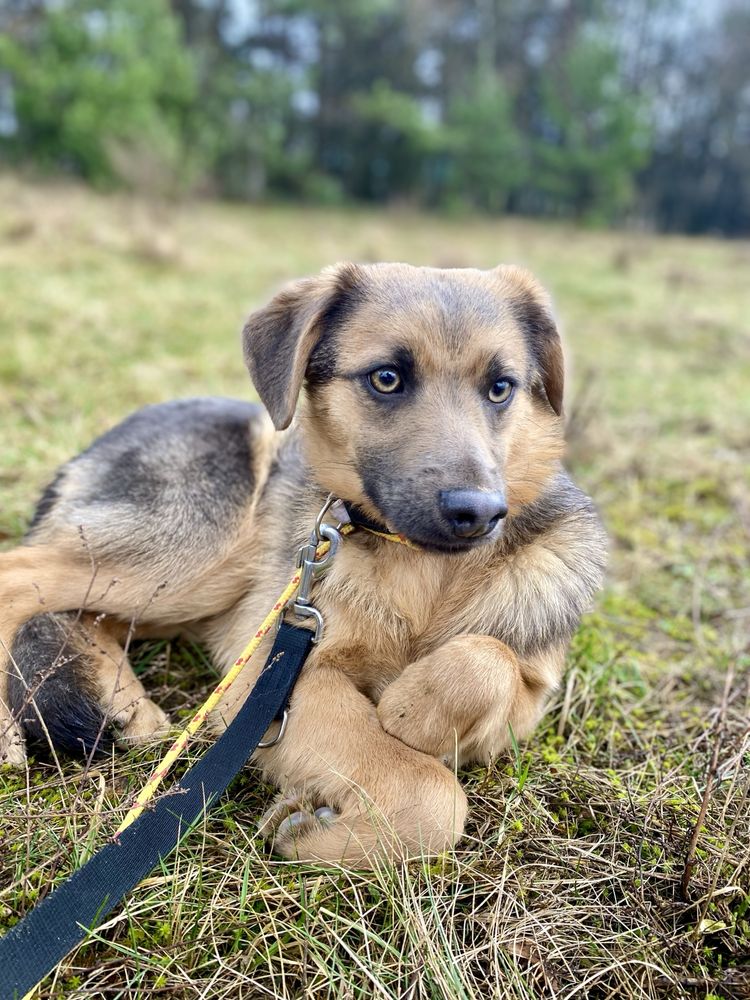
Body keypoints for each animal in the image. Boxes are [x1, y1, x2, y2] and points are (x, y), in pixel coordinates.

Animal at [0, 262, 608, 864]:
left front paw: (415, 710)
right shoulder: (276, 677)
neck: (424, 572)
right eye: (386, 378)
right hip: (186, 552)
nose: (477, 513)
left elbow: (492, 658)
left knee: (83, 615)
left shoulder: (527, 703)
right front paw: (317, 830)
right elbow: (433, 794)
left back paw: (132, 711)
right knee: (16, 581)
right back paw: (10, 741)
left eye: (500, 388)